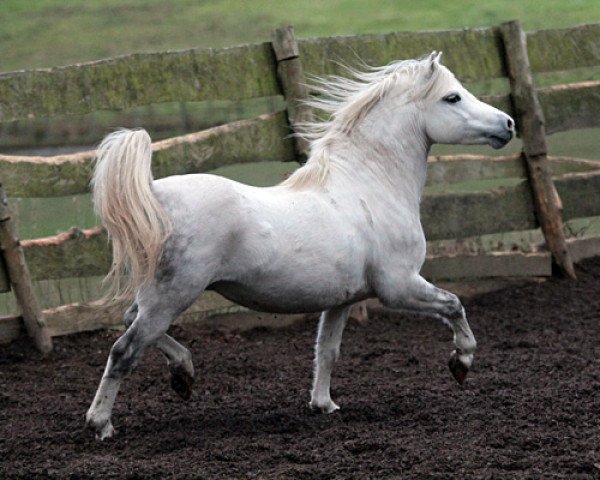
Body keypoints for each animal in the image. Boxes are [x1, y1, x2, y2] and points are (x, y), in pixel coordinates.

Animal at [86, 52, 512, 438]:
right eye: (452, 97)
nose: (507, 125)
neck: (370, 186)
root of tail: (155, 195)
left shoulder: (343, 299)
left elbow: (327, 350)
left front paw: (323, 404)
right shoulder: (399, 286)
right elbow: (454, 305)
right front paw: (461, 363)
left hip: (159, 295)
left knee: (131, 321)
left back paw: (184, 375)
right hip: (174, 293)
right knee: (124, 349)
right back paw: (101, 423)